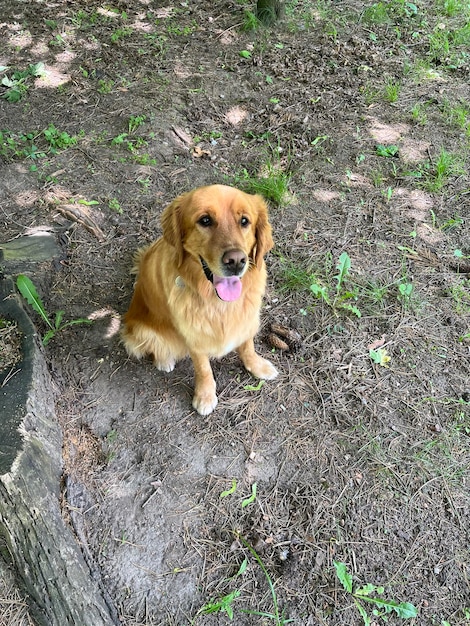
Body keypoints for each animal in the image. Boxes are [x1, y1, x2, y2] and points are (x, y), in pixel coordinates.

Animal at [121, 183, 280, 412]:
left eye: (244, 221)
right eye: (205, 220)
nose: (236, 261)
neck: (218, 302)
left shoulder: (247, 319)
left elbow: (248, 346)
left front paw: (257, 366)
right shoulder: (194, 337)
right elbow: (204, 369)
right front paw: (205, 396)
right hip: (142, 329)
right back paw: (164, 360)